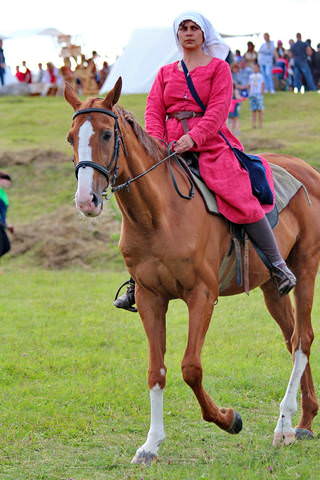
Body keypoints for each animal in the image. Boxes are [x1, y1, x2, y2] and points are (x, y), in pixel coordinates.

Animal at [65, 79, 320, 464]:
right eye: (70, 138)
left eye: (107, 134)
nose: (86, 201)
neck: (160, 216)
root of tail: (308, 171)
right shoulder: (151, 299)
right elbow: (156, 370)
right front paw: (150, 445)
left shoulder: (201, 296)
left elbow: (190, 367)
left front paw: (229, 419)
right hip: (271, 289)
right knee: (291, 340)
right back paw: (299, 422)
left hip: (305, 268)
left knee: (302, 339)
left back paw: (283, 423)